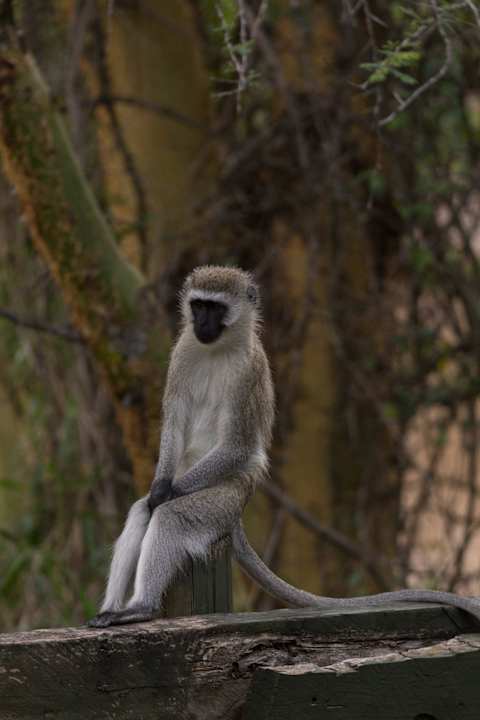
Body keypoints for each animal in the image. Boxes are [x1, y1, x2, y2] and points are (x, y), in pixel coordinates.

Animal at [88, 265, 480, 628]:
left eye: (215, 308)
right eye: (198, 305)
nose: (201, 323)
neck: (218, 350)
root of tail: (237, 517)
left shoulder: (249, 372)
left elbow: (237, 446)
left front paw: (167, 494)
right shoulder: (182, 353)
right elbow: (174, 424)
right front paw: (159, 488)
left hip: (224, 502)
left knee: (171, 517)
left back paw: (143, 606)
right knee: (141, 510)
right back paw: (114, 606)